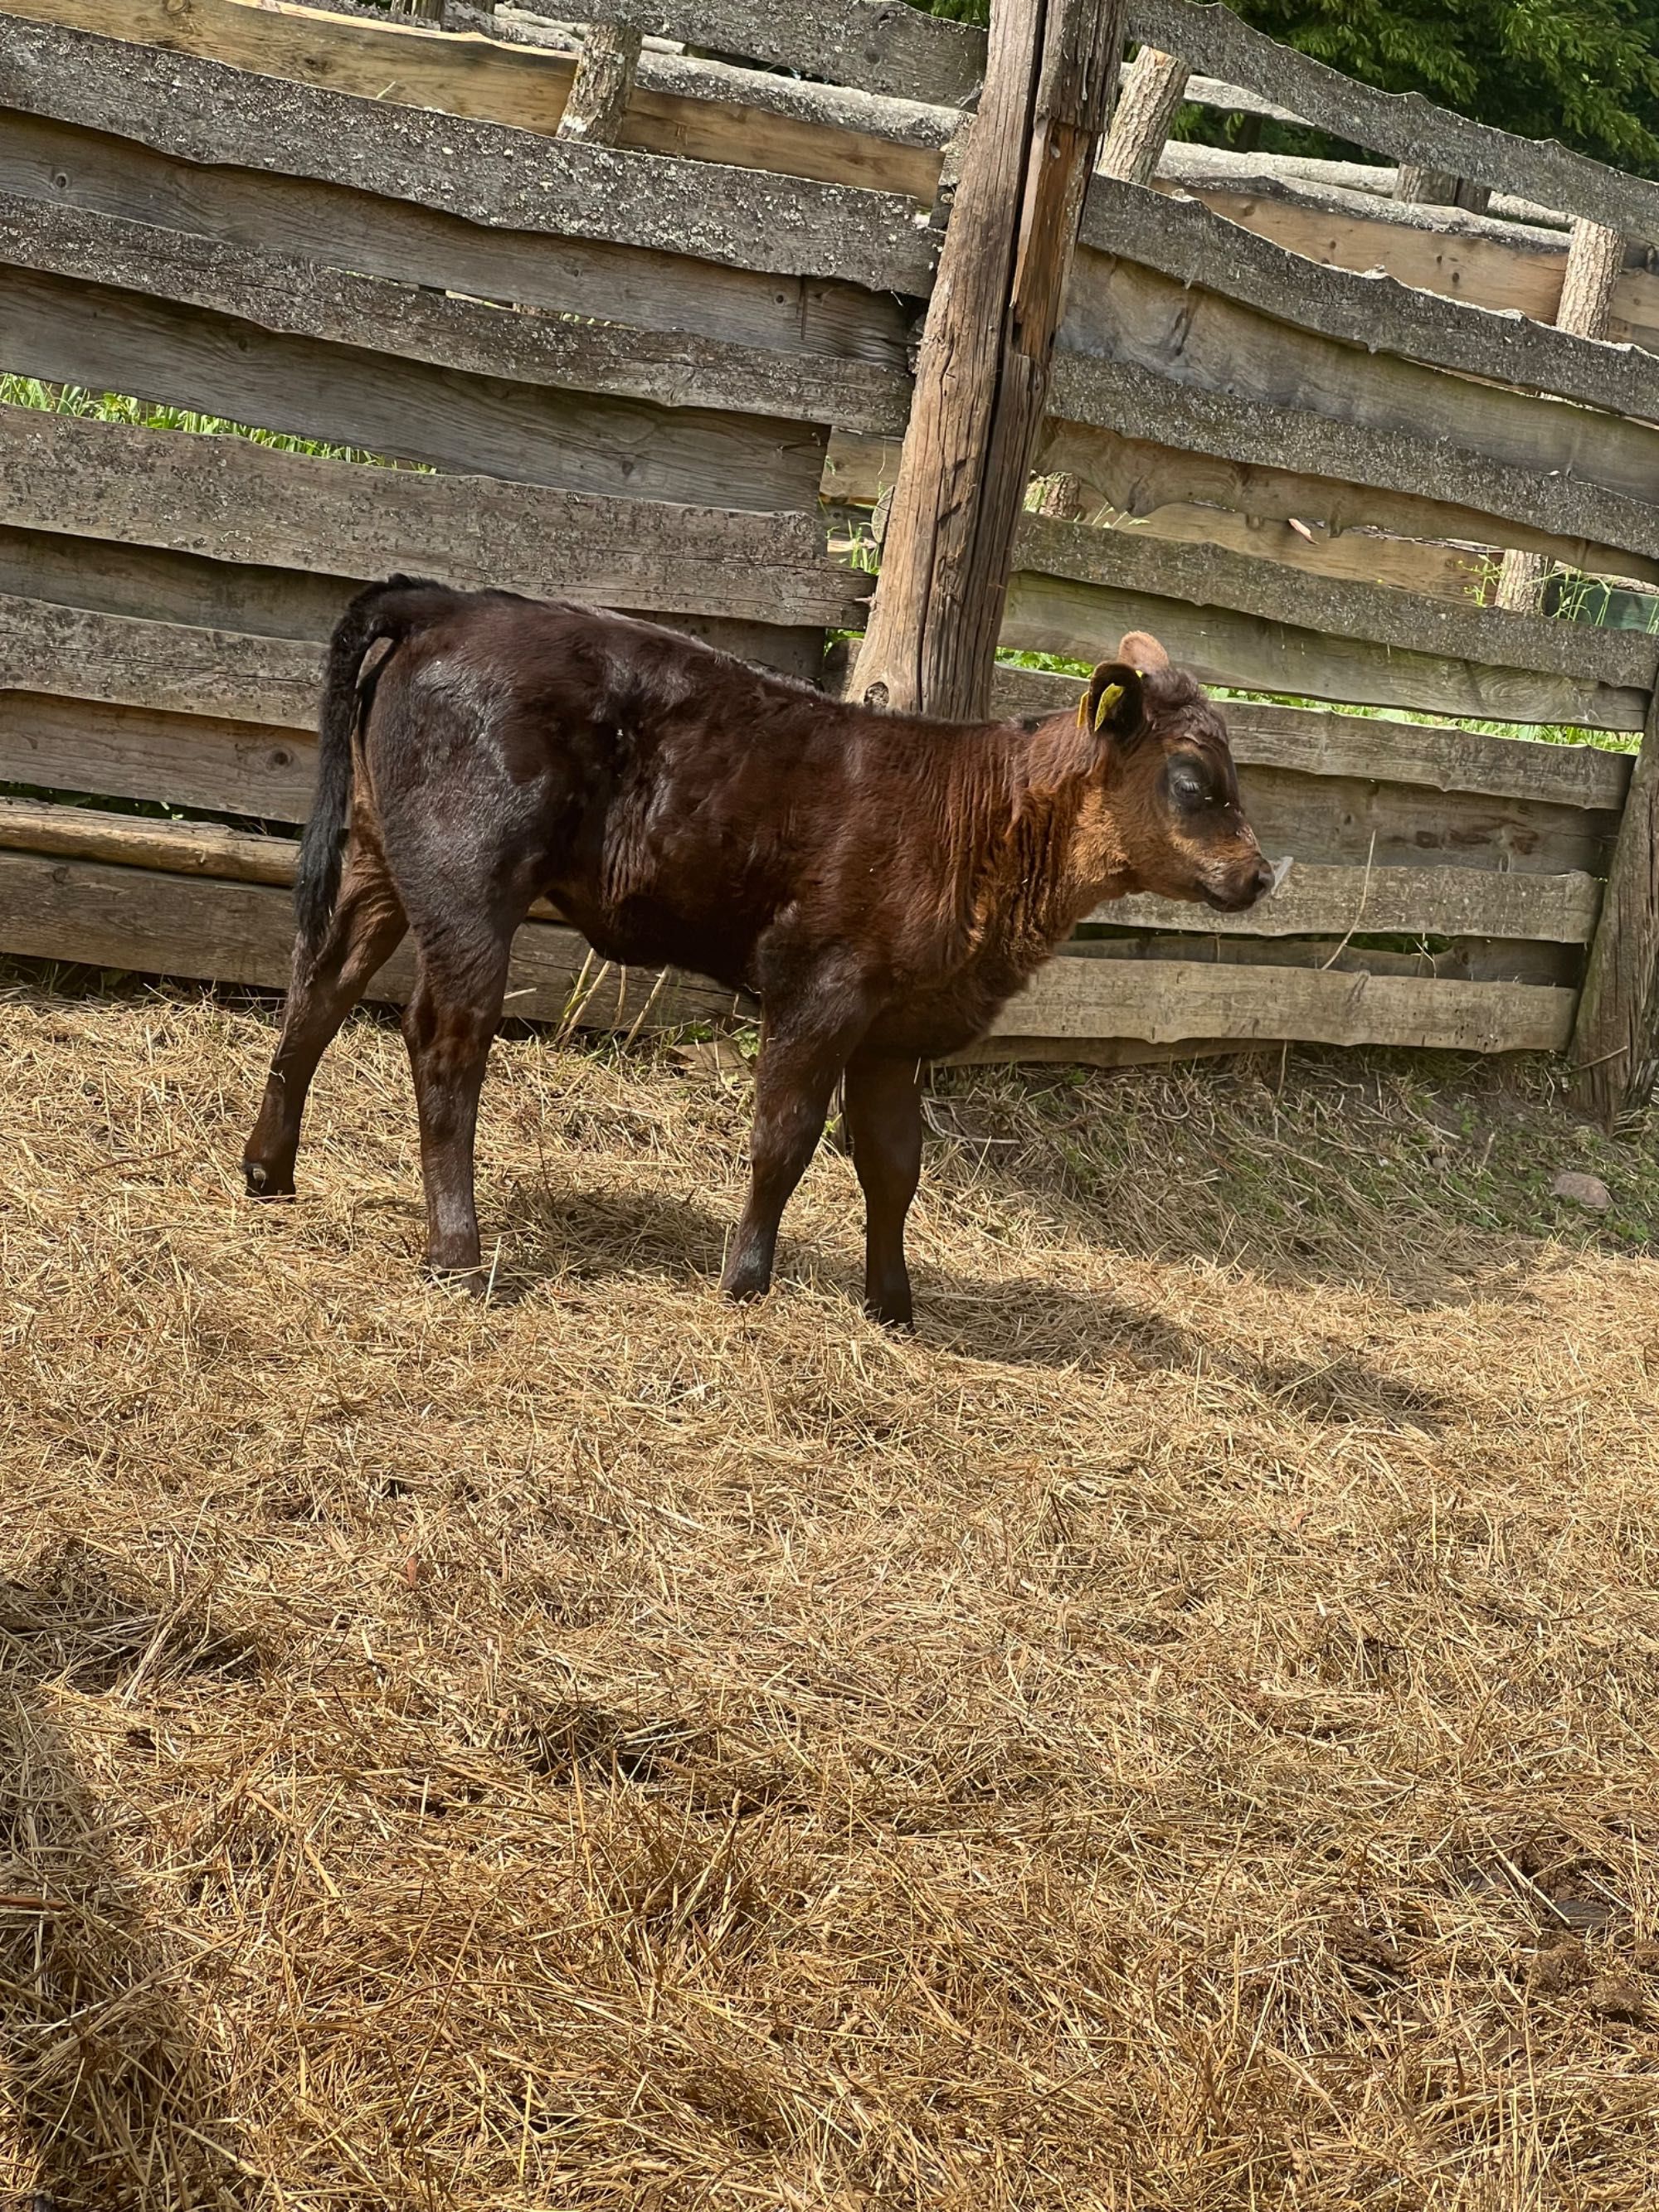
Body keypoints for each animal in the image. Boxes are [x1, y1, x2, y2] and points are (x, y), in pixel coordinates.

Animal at [246, 579, 1282, 1318]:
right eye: (1193, 781)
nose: (1261, 874)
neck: (980, 818)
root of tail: (451, 602)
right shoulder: (821, 992)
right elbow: (782, 1138)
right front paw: (745, 1280)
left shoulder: (894, 1027)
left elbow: (892, 1163)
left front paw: (892, 1305)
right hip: (470, 891)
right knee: (442, 1041)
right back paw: (456, 1254)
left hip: (379, 866)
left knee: (317, 991)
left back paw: (268, 1175)